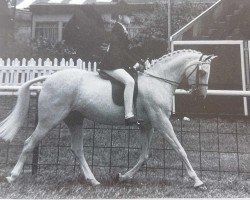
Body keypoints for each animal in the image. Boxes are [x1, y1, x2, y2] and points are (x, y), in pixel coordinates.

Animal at [0, 49, 216, 188]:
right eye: (202, 72)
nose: (201, 96)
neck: (158, 81)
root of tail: (49, 78)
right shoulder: (161, 122)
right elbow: (180, 149)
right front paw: (197, 181)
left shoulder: (148, 125)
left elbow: (144, 155)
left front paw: (123, 177)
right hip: (49, 120)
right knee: (29, 142)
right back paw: (12, 177)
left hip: (75, 120)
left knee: (77, 149)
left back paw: (93, 181)